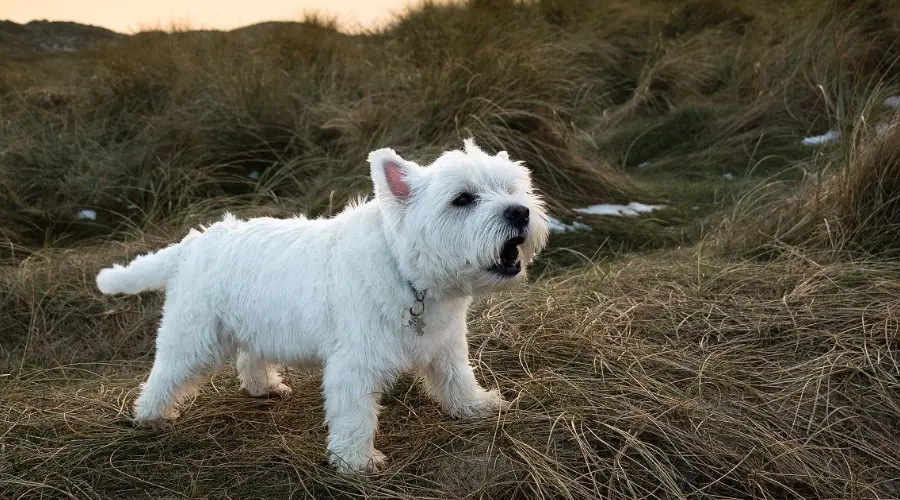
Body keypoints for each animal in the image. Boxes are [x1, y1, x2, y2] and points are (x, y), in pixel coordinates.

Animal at [96, 140, 548, 472]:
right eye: (462, 199)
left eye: (513, 189)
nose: (520, 212)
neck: (408, 273)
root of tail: (192, 243)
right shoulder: (355, 362)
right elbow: (355, 414)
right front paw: (356, 461)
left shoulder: (445, 343)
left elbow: (457, 378)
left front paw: (475, 406)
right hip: (194, 336)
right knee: (165, 374)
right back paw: (151, 415)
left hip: (253, 326)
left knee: (249, 357)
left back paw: (264, 386)